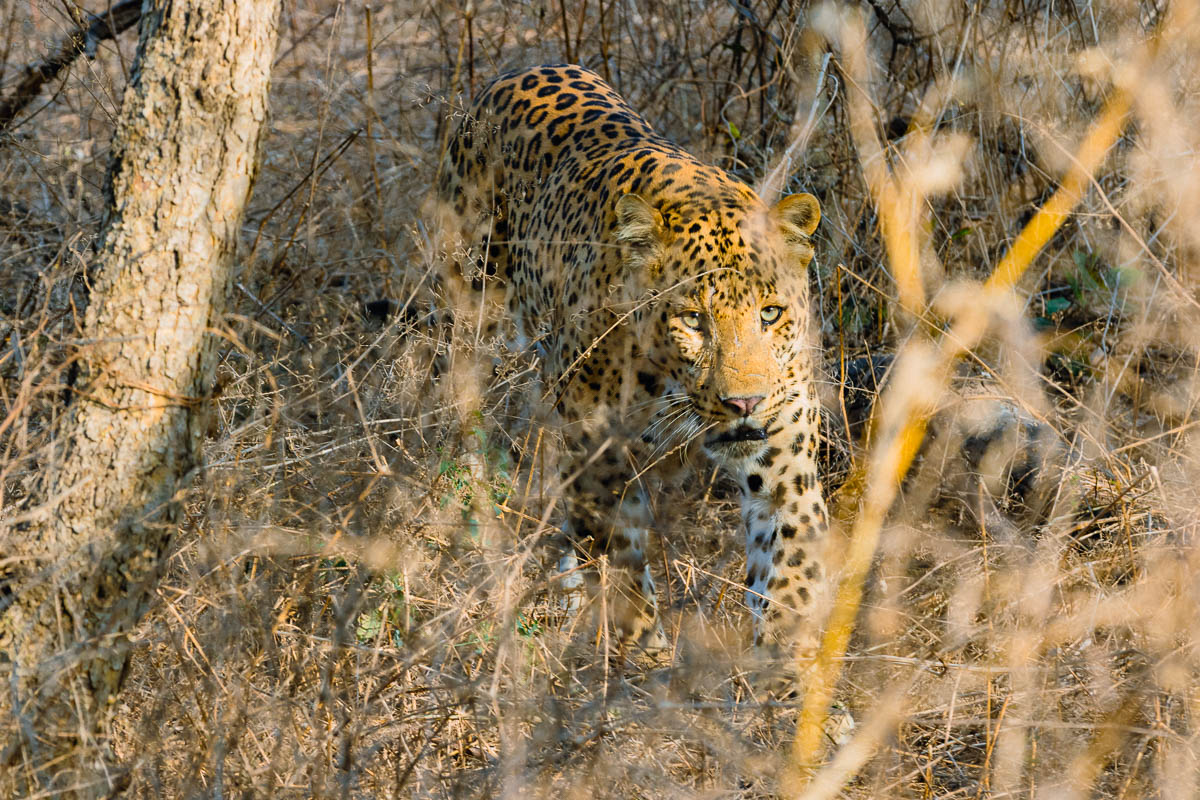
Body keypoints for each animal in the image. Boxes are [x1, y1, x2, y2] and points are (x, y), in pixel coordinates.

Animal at [431, 64, 833, 664]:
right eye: (693, 320)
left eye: (771, 313)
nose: (744, 403)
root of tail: (519, 70)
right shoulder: (598, 459)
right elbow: (624, 573)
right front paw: (648, 664)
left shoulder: (783, 460)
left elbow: (792, 573)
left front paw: (789, 674)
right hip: (474, 316)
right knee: (469, 429)